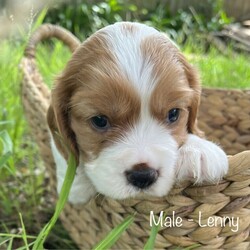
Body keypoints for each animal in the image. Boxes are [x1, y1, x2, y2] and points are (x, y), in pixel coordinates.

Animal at [47, 22, 229, 204]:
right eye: (99, 120)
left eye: (173, 114)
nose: (143, 176)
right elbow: (63, 149)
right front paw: (76, 183)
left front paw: (199, 150)